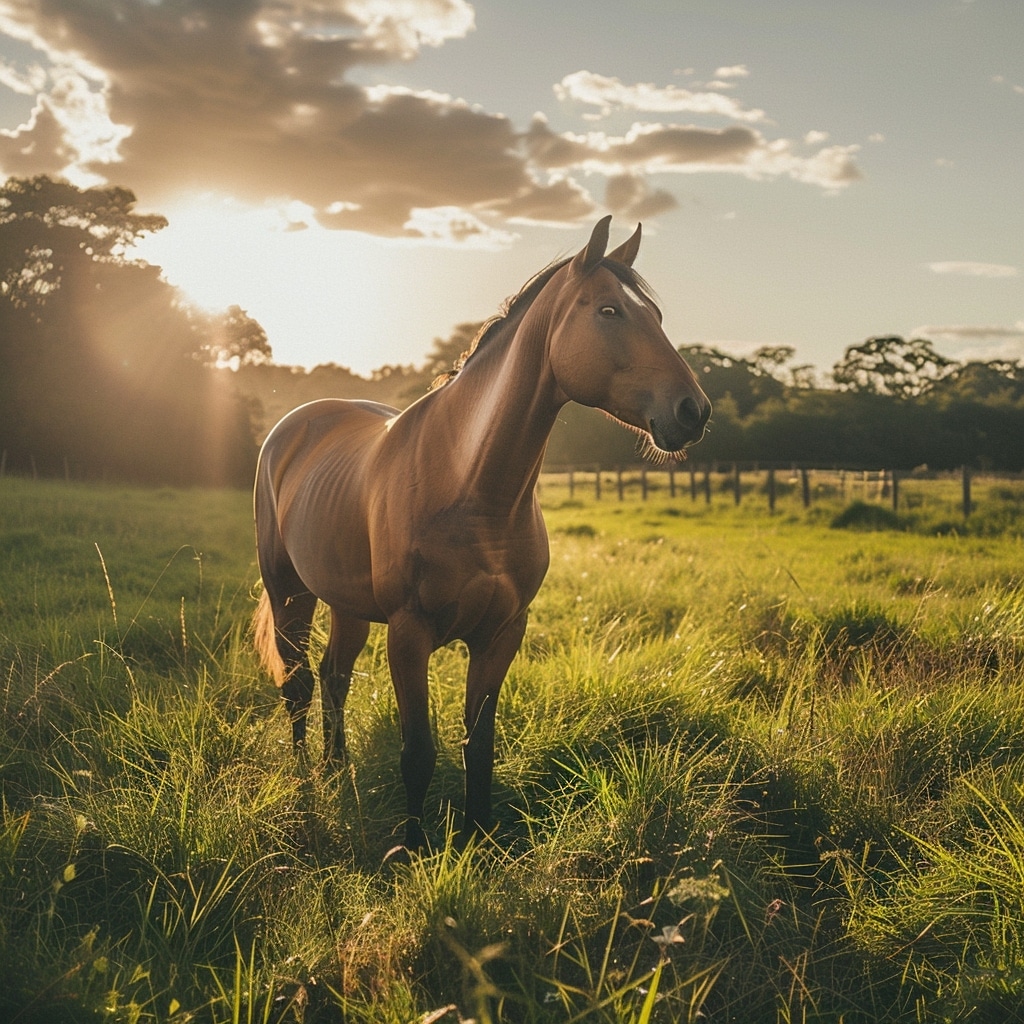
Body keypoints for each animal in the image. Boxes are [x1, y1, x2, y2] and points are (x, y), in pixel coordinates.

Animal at [251, 220, 708, 851]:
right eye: (609, 310)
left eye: (656, 316)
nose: (694, 411)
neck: (471, 487)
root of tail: (292, 426)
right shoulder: (409, 634)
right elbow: (418, 753)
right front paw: (411, 848)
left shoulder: (502, 634)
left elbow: (480, 748)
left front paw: (478, 839)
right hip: (289, 592)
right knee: (296, 685)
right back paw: (305, 784)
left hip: (346, 604)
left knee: (332, 676)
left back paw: (336, 768)